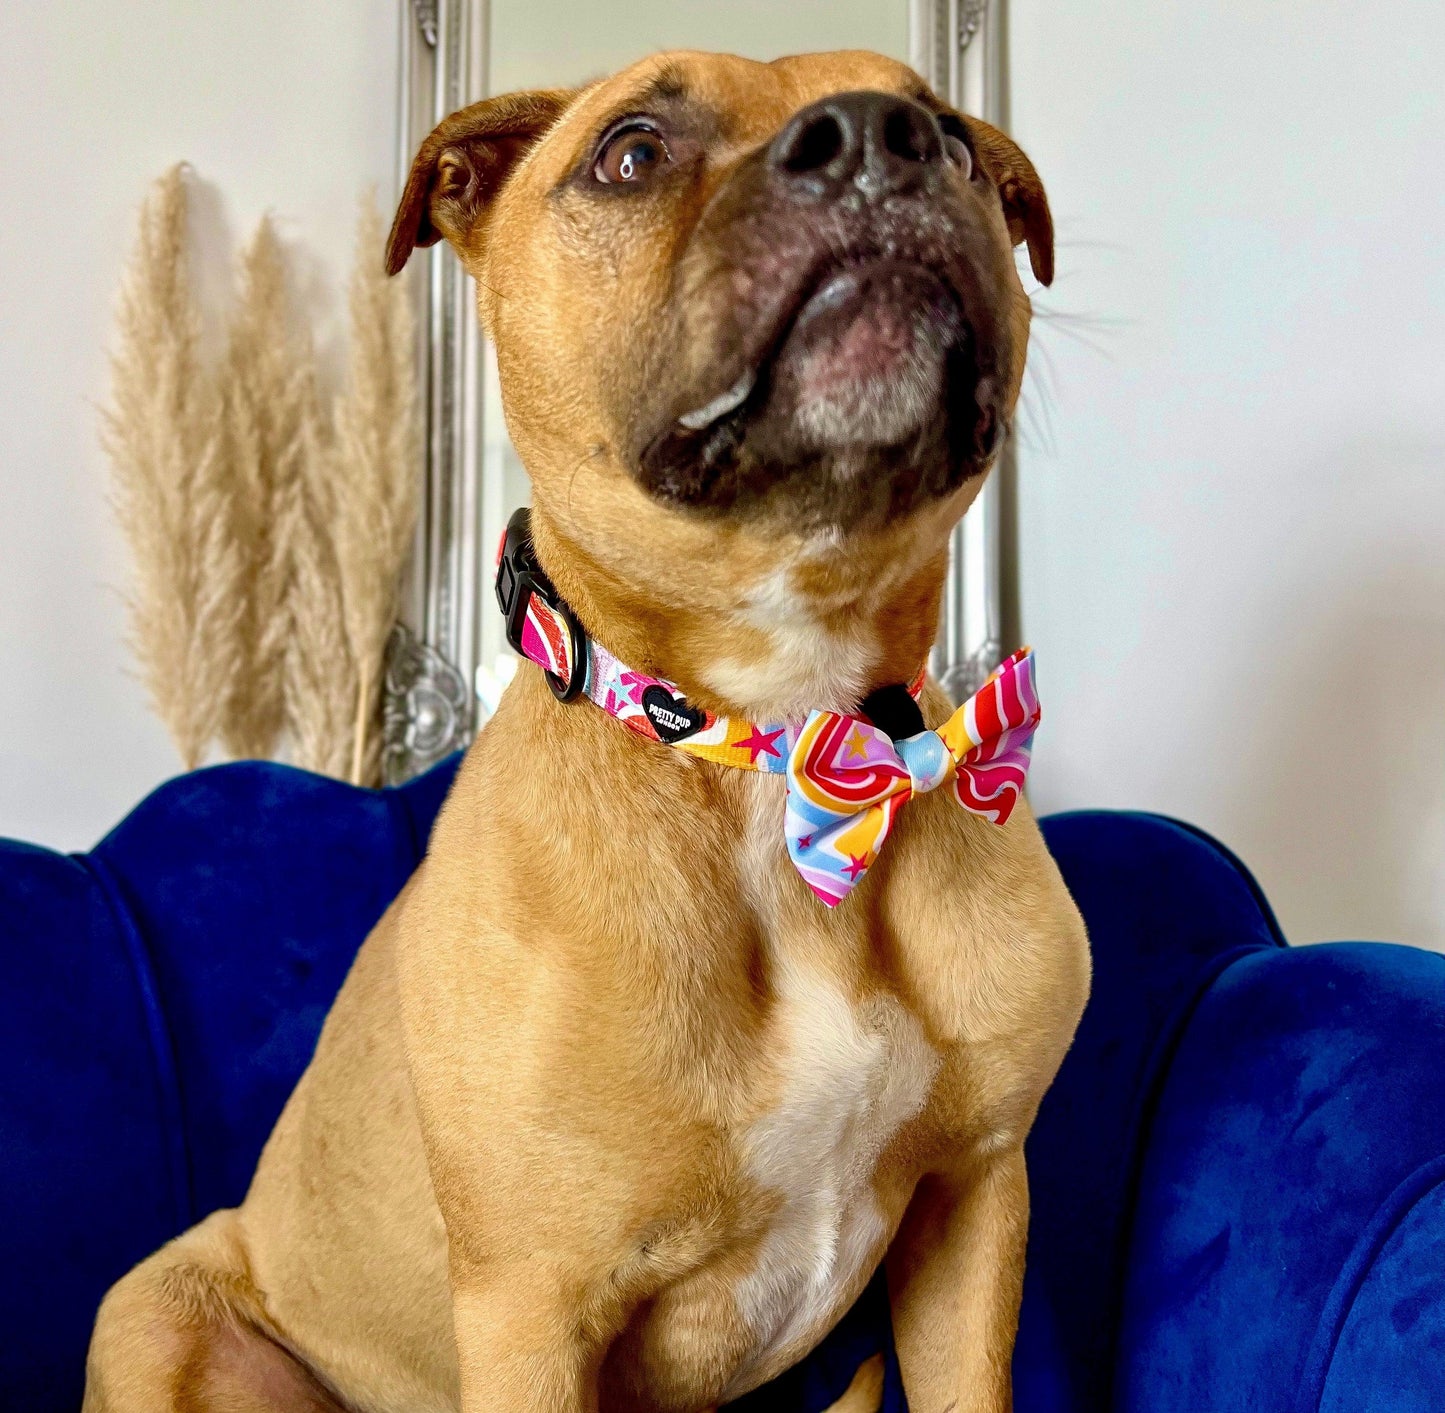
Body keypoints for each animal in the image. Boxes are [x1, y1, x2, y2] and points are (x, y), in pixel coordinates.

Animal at [84, 49, 1086, 1404]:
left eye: (959, 141)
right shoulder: (531, 1308)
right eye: (630, 152)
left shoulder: (972, 1202)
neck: (769, 738)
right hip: (153, 1311)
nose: (882, 139)